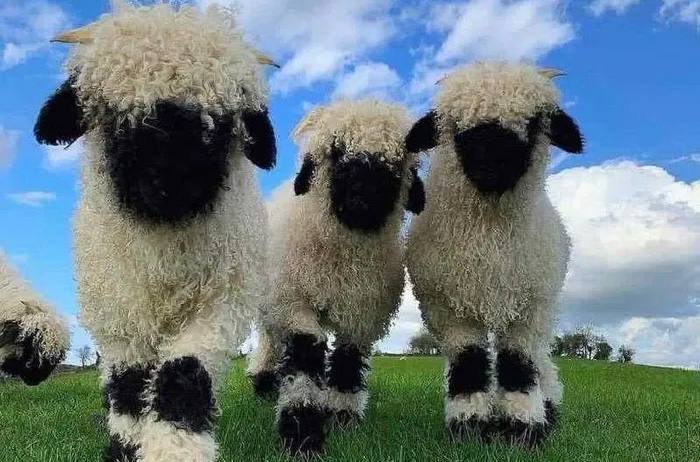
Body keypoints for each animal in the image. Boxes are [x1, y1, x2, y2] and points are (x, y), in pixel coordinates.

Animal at [33, 4, 277, 462]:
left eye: (222, 122)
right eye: (115, 114)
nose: (172, 186)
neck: (164, 246)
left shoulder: (221, 303)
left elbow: (184, 374)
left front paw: (176, 448)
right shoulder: (120, 316)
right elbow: (128, 387)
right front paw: (126, 445)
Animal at [249, 100, 425, 454]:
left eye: (398, 159)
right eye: (336, 150)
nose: (362, 199)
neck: (343, 259)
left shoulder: (363, 316)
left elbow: (347, 364)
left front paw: (342, 419)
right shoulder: (295, 305)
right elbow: (304, 359)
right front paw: (302, 433)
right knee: (270, 341)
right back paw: (263, 383)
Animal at [405, 62, 583, 448]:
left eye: (534, 121)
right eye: (455, 123)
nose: (491, 165)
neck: (488, 237)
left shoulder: (530, 308)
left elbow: (518, 364)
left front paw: (523, 427)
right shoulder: (446, 309)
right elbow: (468, 364)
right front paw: (469, 425)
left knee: (542, 361)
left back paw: (549, 407)